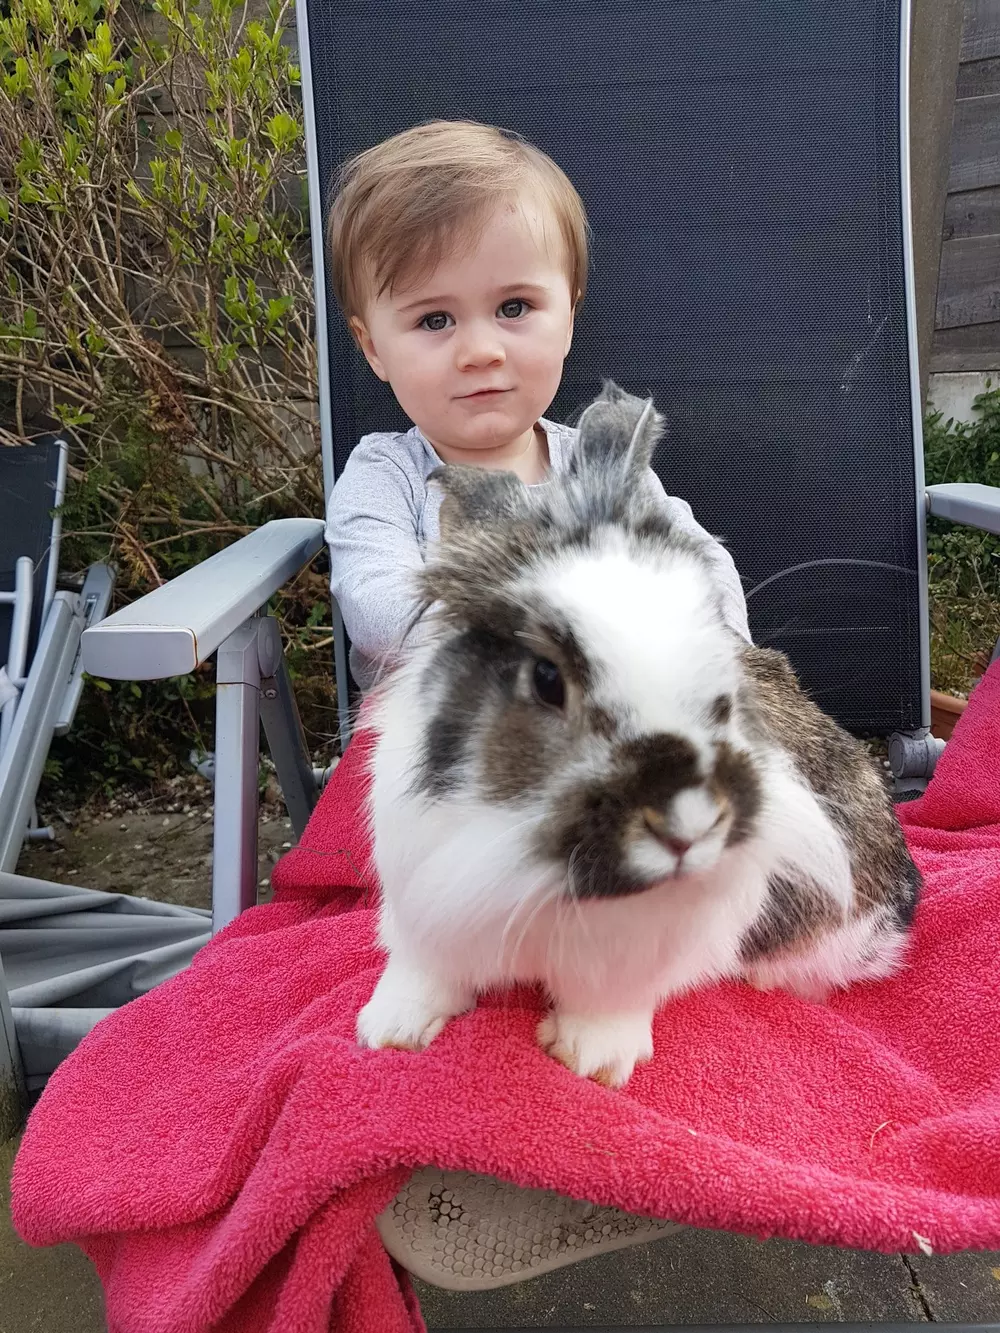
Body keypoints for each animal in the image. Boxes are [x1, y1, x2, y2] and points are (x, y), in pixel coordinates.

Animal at [356, 383, 922, 1087]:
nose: (688, 823)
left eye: (722, 681)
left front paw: (592, 1060)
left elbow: (606, 1002)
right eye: (547, 678)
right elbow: (421, 971)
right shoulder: (422, 902)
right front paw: (388, 1032)